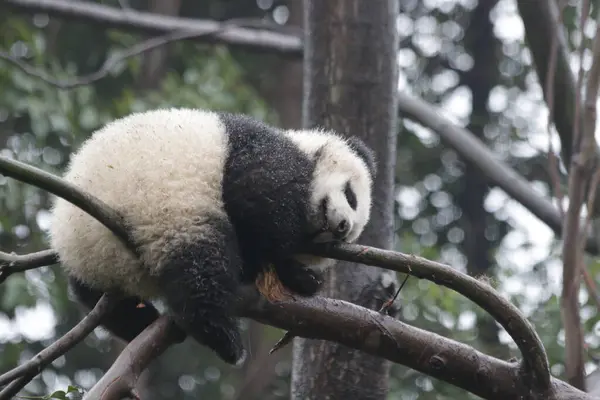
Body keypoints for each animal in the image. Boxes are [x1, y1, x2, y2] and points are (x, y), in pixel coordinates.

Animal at [48, 108, 376, 368]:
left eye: (342, 240)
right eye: (351, 195)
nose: (342, 227)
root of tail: (75, 236)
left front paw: (303, 277)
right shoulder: (268, 159)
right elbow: (254, 208)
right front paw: (296, 274)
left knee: (94, 296)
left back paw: (139, 322)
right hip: (167, 211)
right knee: (200, 269)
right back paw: (224, 339)